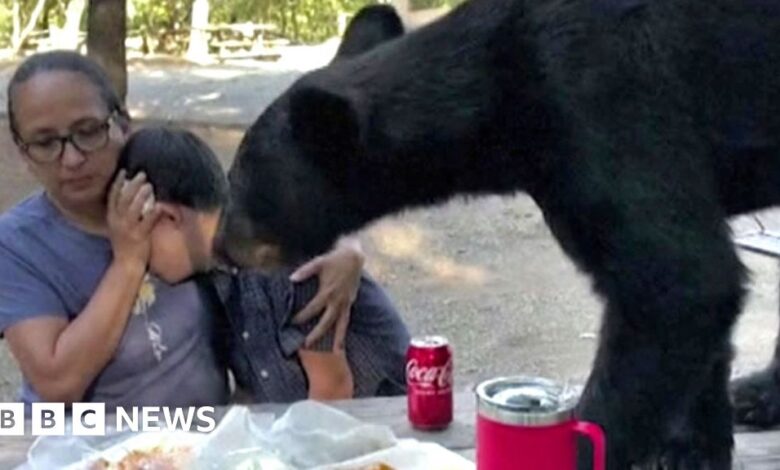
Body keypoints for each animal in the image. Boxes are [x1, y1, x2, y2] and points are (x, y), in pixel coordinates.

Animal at [217, 1, 780, 468]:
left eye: (240, 182)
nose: (221, 248)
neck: (502, 99)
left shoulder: (605, 107)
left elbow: (677, 279)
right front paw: (692, 446)